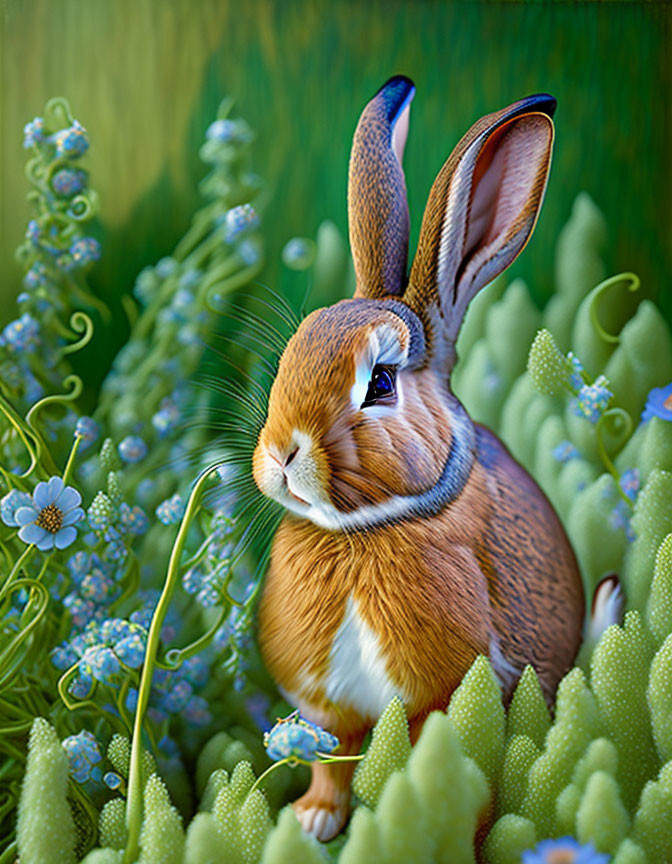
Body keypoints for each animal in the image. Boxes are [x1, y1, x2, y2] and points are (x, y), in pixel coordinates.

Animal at [252, 76, 592, 844]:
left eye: (379, 383)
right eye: (292, 355)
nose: (281, 454)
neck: (362, 534)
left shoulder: (440, 700)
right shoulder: (331, 709)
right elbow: (332, 764)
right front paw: (314, 821)